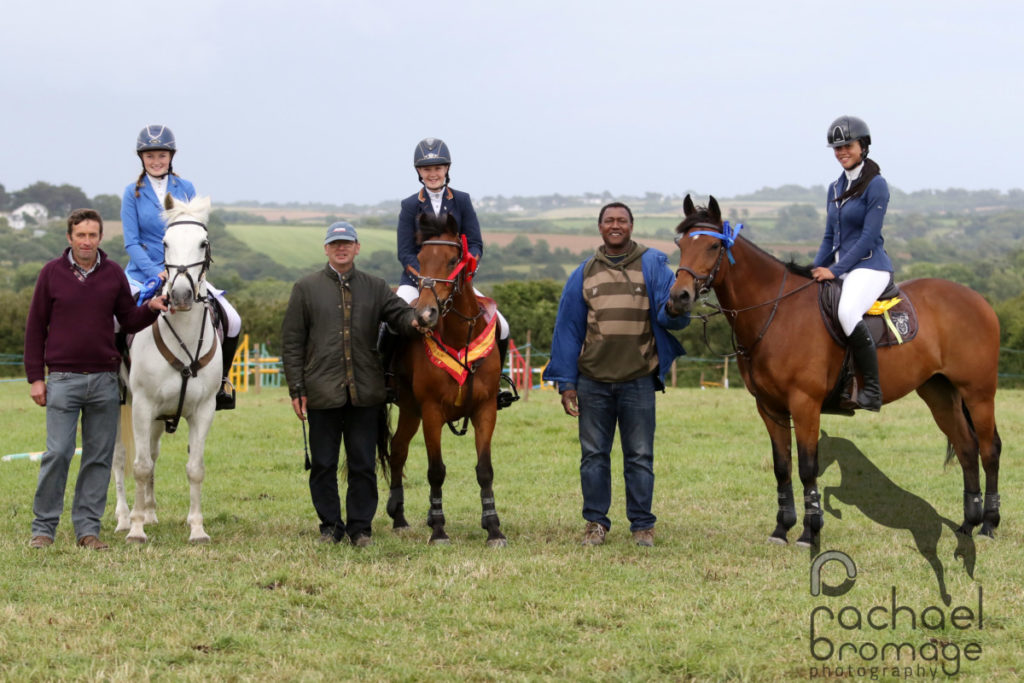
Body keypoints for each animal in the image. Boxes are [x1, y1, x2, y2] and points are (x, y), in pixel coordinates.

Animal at [385, 216, 507, 548]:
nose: (425, 314)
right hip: (411, 409)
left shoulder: (485, 409)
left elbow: (485, 470)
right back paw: (400, 518)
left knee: (397, 448)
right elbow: (436, 471)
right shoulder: (431, 411)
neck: (456, 335)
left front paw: (494, 529)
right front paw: (439, 531)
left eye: (454, 260)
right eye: (420, 259)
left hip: (411, 411)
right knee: (397, 451)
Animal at [663, 194, 999, 548]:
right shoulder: (769, 408)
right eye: (680, 244)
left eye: (713, 247)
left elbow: (807, 468)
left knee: (988, 451)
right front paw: (781, 529)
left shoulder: (805, 404)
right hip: (939, 394)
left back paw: (989, 526)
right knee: (966, 449)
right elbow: (782, 467)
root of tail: (978, 299)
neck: (775, 311)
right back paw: (968, 525)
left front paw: (810, 532)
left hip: (978, 394)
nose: (678, 297)